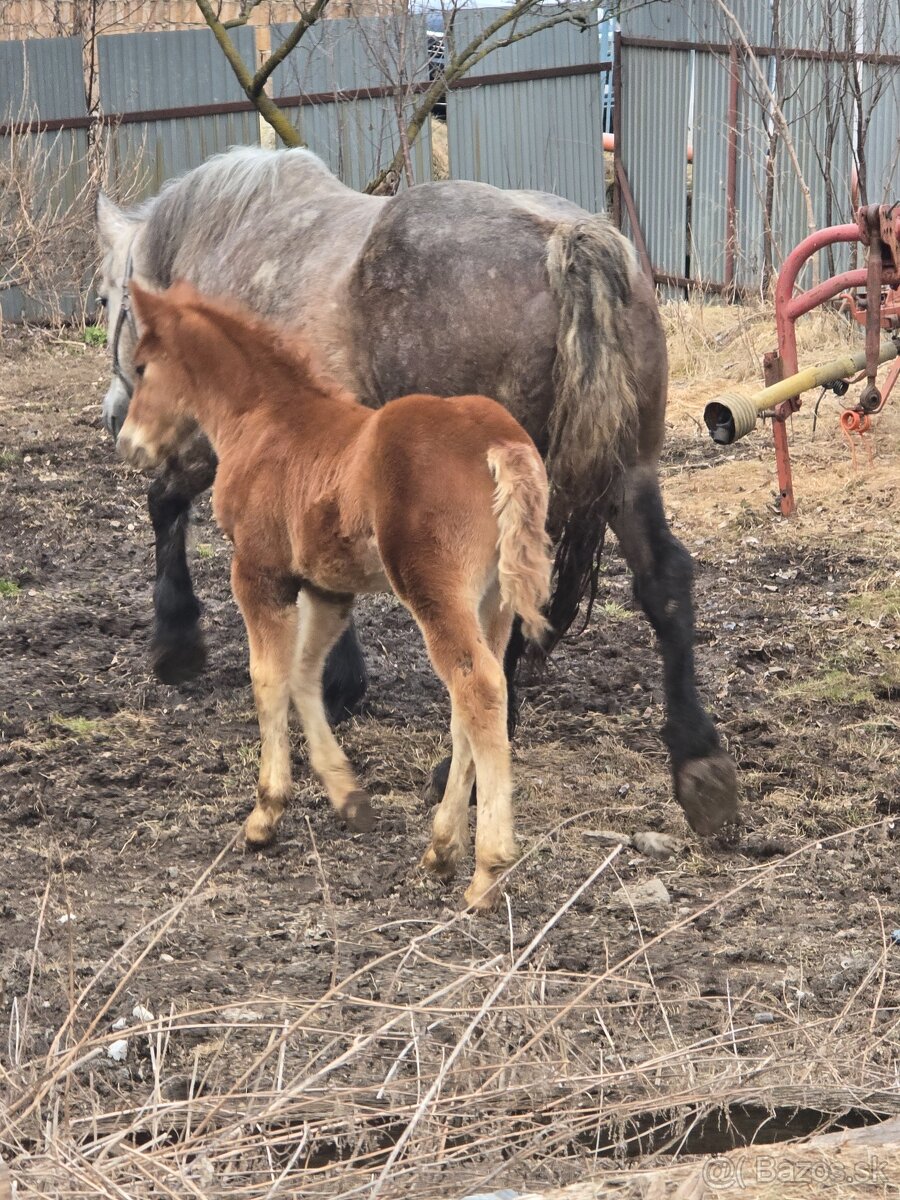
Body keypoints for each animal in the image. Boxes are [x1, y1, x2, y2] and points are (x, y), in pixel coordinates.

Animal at [116, 283, 554, 907]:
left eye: (142, 366)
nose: (129, 444)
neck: (264, 419)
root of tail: (500, 441)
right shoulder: (326, 588)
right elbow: (305, 677)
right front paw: (349, 798)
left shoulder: (259, 574)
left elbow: (268, 679)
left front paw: (265, 815)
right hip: (492, 602)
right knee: (471, 701)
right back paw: (441, 850)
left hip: (435, 591)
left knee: (478, 689)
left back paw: (488, 871)